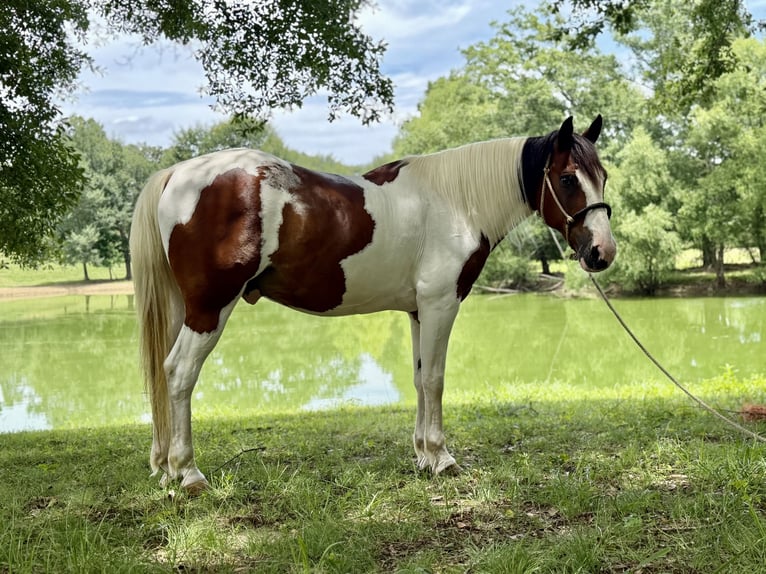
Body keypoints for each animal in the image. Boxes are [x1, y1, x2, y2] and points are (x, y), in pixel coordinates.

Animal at [129, 115, 616, 492]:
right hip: (210, 309)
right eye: (568, 178)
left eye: (603, 176)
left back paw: (167, 471)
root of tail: (178, 174)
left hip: (183, 309)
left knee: (164, 374)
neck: (456, 202)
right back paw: (189, 474)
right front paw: (442, 458)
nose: (602, 252)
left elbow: (419, 379)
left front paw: (423, 456)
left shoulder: (419, 310)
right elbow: (435, 380)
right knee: (179, 373)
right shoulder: (441, 305)